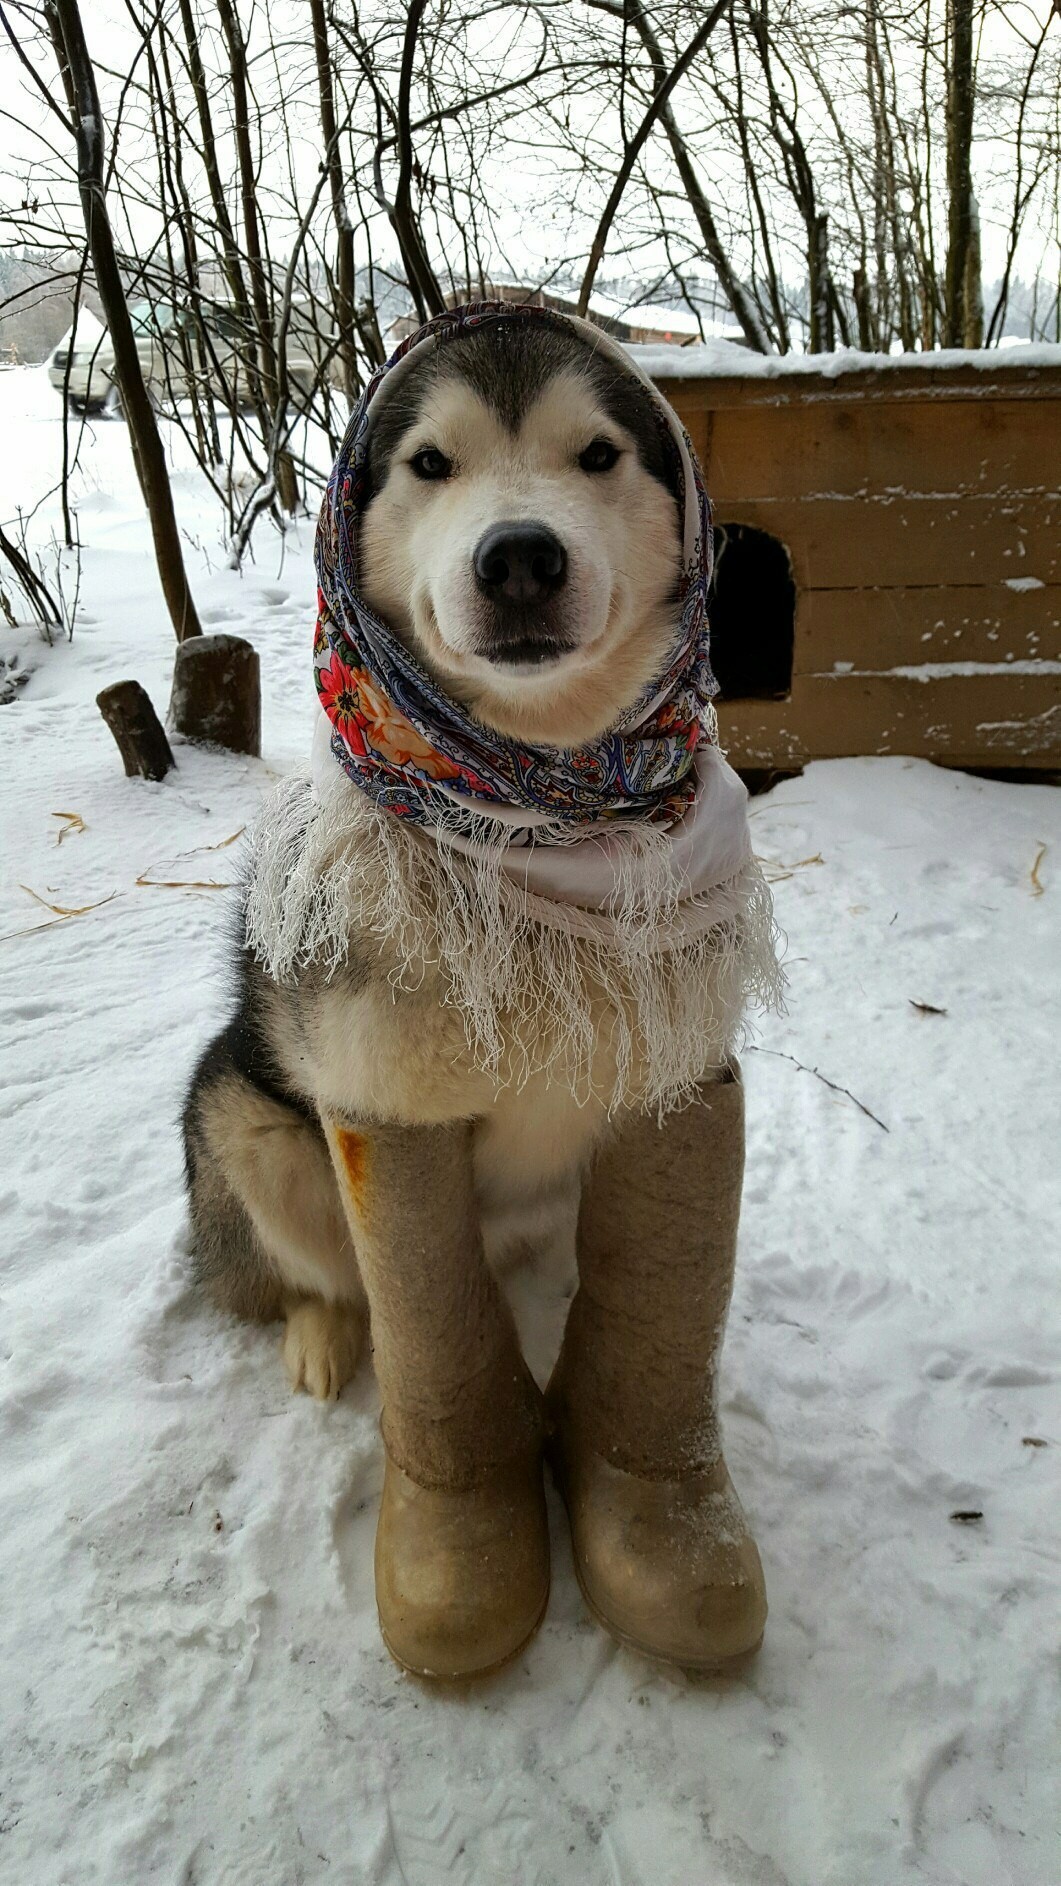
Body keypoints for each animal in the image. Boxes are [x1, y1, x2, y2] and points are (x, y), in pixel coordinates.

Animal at [182, 305, 780, 1682]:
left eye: (597, 453)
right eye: (430, 465)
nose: (517, 557)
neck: (538, 817)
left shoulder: (678, 1071)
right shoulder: (381, 1102)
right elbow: (428, 1324)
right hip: (242, 1118)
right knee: (318, 1273)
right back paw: (321, 1334)